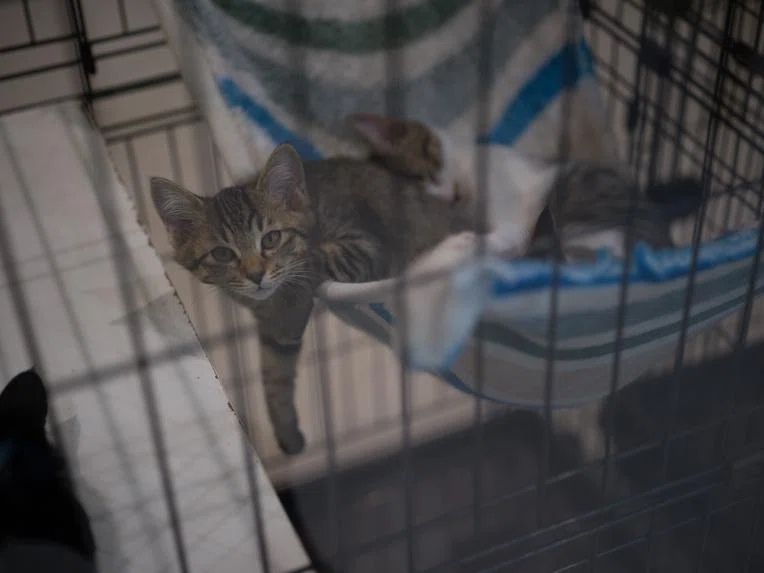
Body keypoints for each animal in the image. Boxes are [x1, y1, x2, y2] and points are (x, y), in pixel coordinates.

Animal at [151, 144, 476, 454]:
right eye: (222, 254)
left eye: (271, 238)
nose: (256, 275)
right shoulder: (267, 331)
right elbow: (274, 372)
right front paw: (286, 429)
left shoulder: (366, 244)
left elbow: (312, 264)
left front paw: (291, 301)